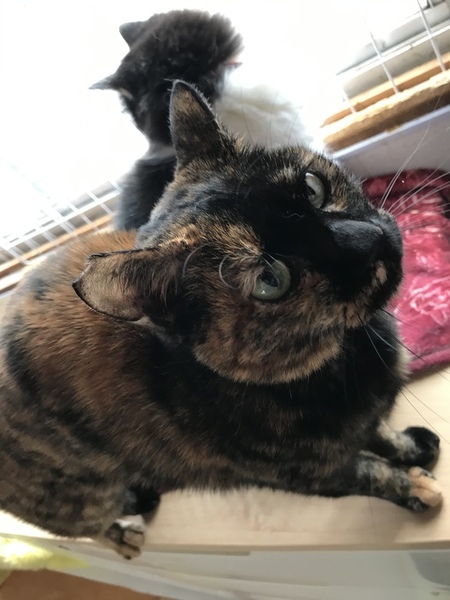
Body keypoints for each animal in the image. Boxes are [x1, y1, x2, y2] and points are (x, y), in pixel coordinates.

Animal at [0, 81, 442, 559]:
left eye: (312, 187)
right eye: (270, 280)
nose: (372, 240)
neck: (343, 355)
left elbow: (375, 432)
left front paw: (409, 447)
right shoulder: (309, 475)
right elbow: (369, 473)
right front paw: (416, 488)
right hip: (76, 497)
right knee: (89, 524)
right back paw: (123, 535)